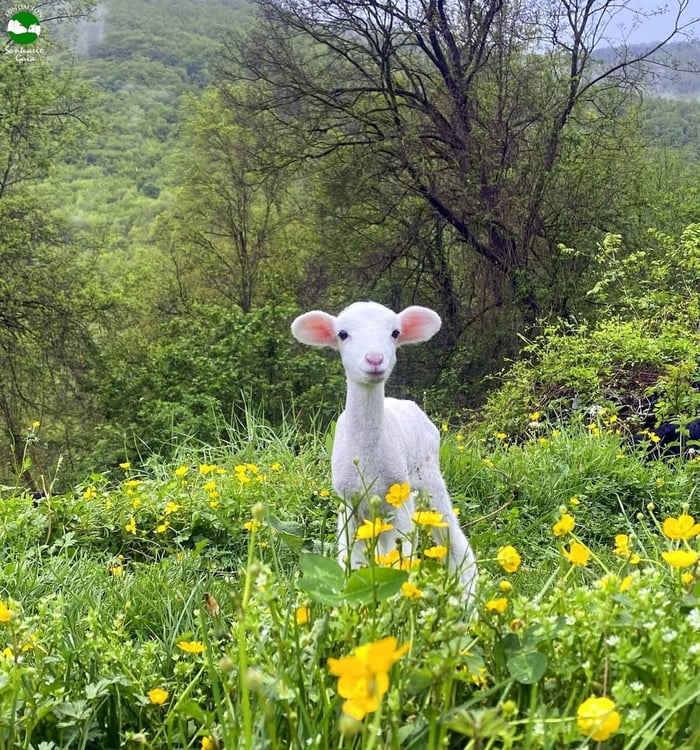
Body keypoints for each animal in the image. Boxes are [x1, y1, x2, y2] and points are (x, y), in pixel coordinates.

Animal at [290, 300, 476, 600]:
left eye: (395, 333)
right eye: (342, 334)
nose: (375, 359)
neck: (367, 461)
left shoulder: (398, 495)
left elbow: (403, 560)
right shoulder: (347, 502)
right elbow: (351, 560)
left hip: (427, 481)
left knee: (454, 543)